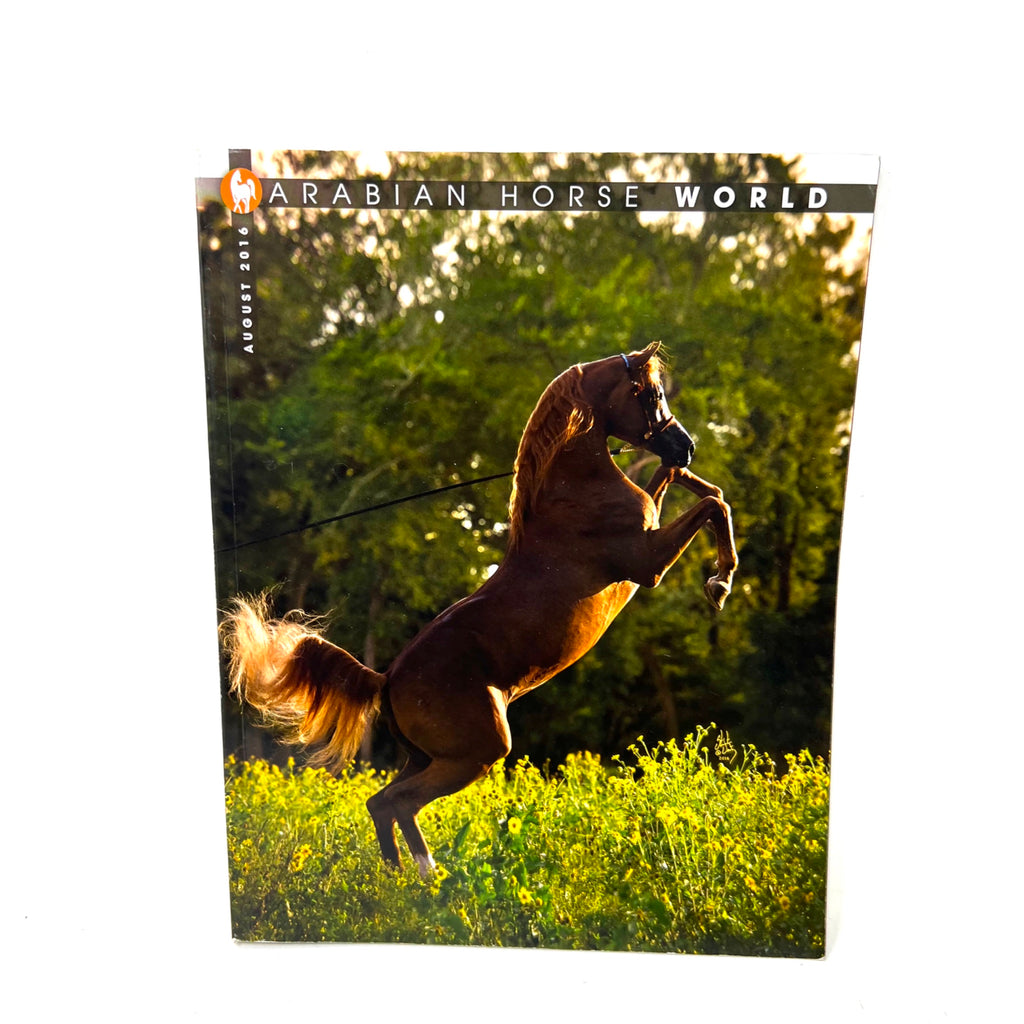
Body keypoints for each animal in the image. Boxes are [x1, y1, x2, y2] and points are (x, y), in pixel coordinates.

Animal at [221, 341, 738, 876]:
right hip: (476, 754)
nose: (686, 444)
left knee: (381, 803)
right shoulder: (647, 564)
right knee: (396, 803)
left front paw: (696, 496)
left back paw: (403, 882)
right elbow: (714, 507)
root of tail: (385, 680)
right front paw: (720, 583)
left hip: (428, 757)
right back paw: (430, 880)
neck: (572, 494)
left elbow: (694, 489)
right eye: (651, 393)